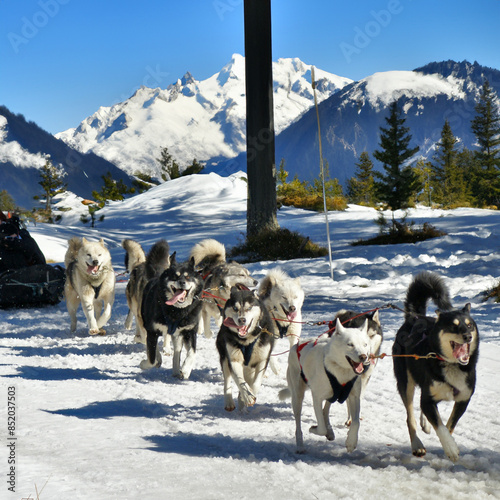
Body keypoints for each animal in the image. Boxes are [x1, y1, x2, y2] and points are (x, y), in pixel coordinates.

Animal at [139, 252, 203, 380]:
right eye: (175, 276)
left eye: (188, 277)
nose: (182, 282)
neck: (176, 311)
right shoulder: (152, 331)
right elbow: (152, 358)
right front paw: (144, 364)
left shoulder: (189, 331)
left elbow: (192, 352)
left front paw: (186, 369)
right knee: (154, 350)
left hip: (177, 336)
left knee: (177, 353)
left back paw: (176, 371)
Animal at [282, 318, 372, 456]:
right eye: (350, 344)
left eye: (365, 344)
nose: (363, 356)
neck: (340, 371)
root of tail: (297, 345)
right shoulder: (317, 397)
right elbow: (321, 428)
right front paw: (313, 429)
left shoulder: (354, 397)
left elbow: (356, 422)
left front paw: (351, 442)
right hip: (297, 396)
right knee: (298, 423)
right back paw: (300, 445)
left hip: (333, 395)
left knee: (326, 409)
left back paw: (330, 431)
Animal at [392, 272, 478, 462]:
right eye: (454, 325)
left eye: (469, 325)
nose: (468, 336)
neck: (452, 365)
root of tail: (414, 317)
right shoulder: (428, 400)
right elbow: (440, 426)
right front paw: (451, 448)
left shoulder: (463, 399)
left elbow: (449, 424)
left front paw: (449, 445)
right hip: (406, 383)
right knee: (410, 417)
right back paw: (417, 445)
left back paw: (425, 424)